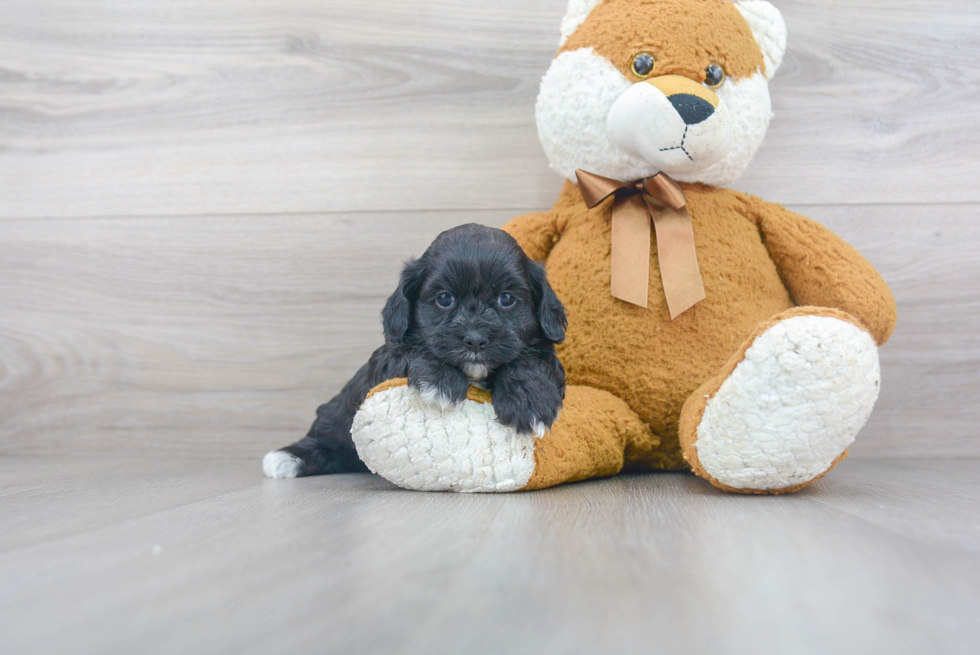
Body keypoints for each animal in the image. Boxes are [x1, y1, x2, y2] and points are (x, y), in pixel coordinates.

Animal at [262, 223, 568, 480]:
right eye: (444, 298)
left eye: (506, 299)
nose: (475, 339)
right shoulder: (386, 360)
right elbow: (412, 350)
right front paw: (440, 381)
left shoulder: (546, 355)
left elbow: (532, 361)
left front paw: (528, 401)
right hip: (339, 413)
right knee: (328, 428)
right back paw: (288, 458)